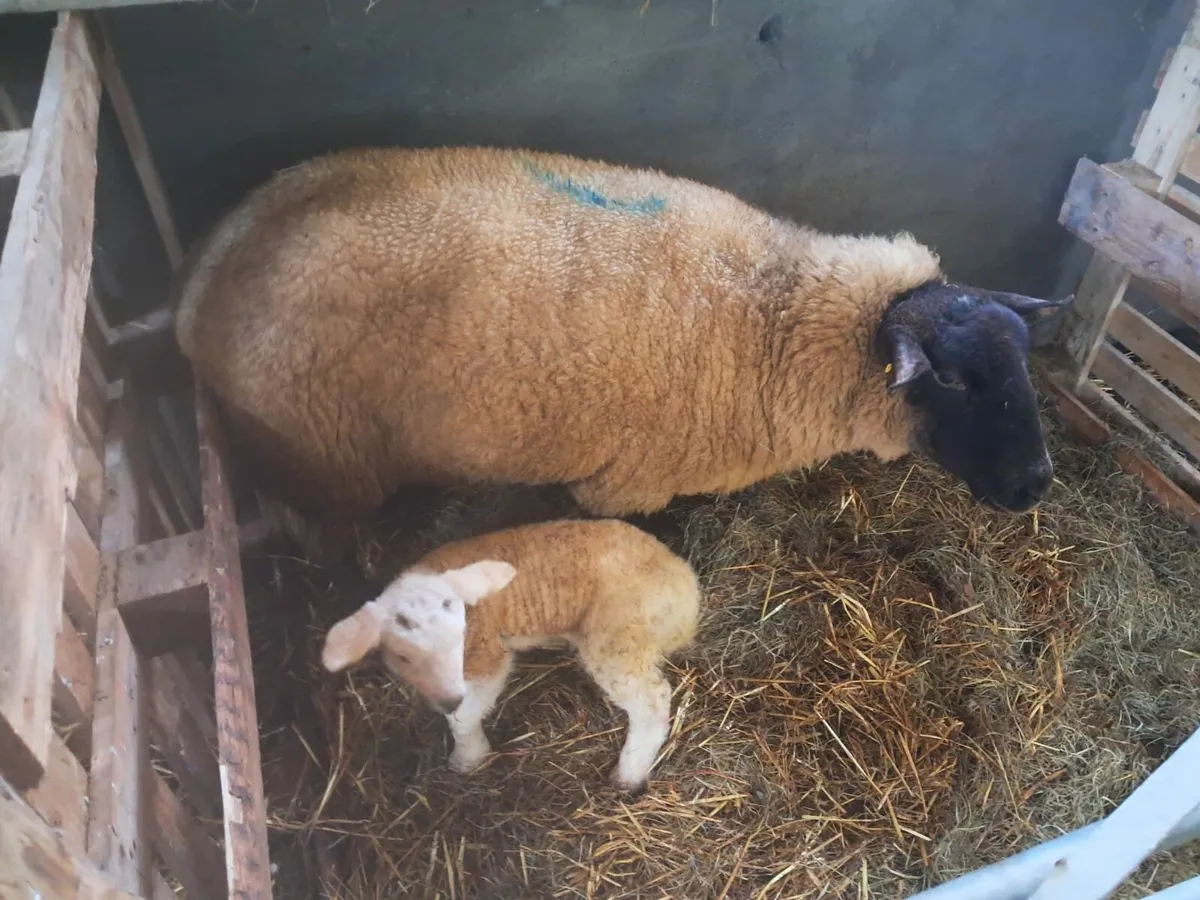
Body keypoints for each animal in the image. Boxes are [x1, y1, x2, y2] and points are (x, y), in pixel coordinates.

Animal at [173, 145, 1071, 562]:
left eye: (1024, 362)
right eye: (951, 379)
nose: (1035, 485)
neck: (772, 315)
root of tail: (200, 285)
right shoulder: (627, 482)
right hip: (324, 462)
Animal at [319, 518, 701, 791]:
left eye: (460, 640)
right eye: (403, 657)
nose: (446, 699)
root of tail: (686, 586)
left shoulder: (488, 654)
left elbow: (463, 718)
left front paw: (467, 758)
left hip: (618, 633)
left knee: (652, 698)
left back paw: (629, 773)